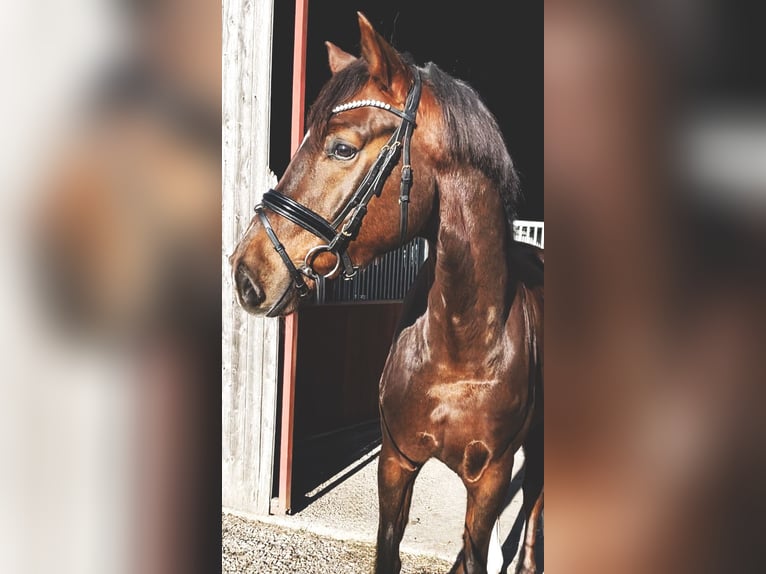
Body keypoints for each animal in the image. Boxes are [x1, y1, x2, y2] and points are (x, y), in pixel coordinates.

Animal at [229, 13, 543, 574]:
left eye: (343, 148)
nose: (246, 273)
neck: (460, 343)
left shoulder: (489, 482)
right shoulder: (396, 462)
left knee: (535, 498)